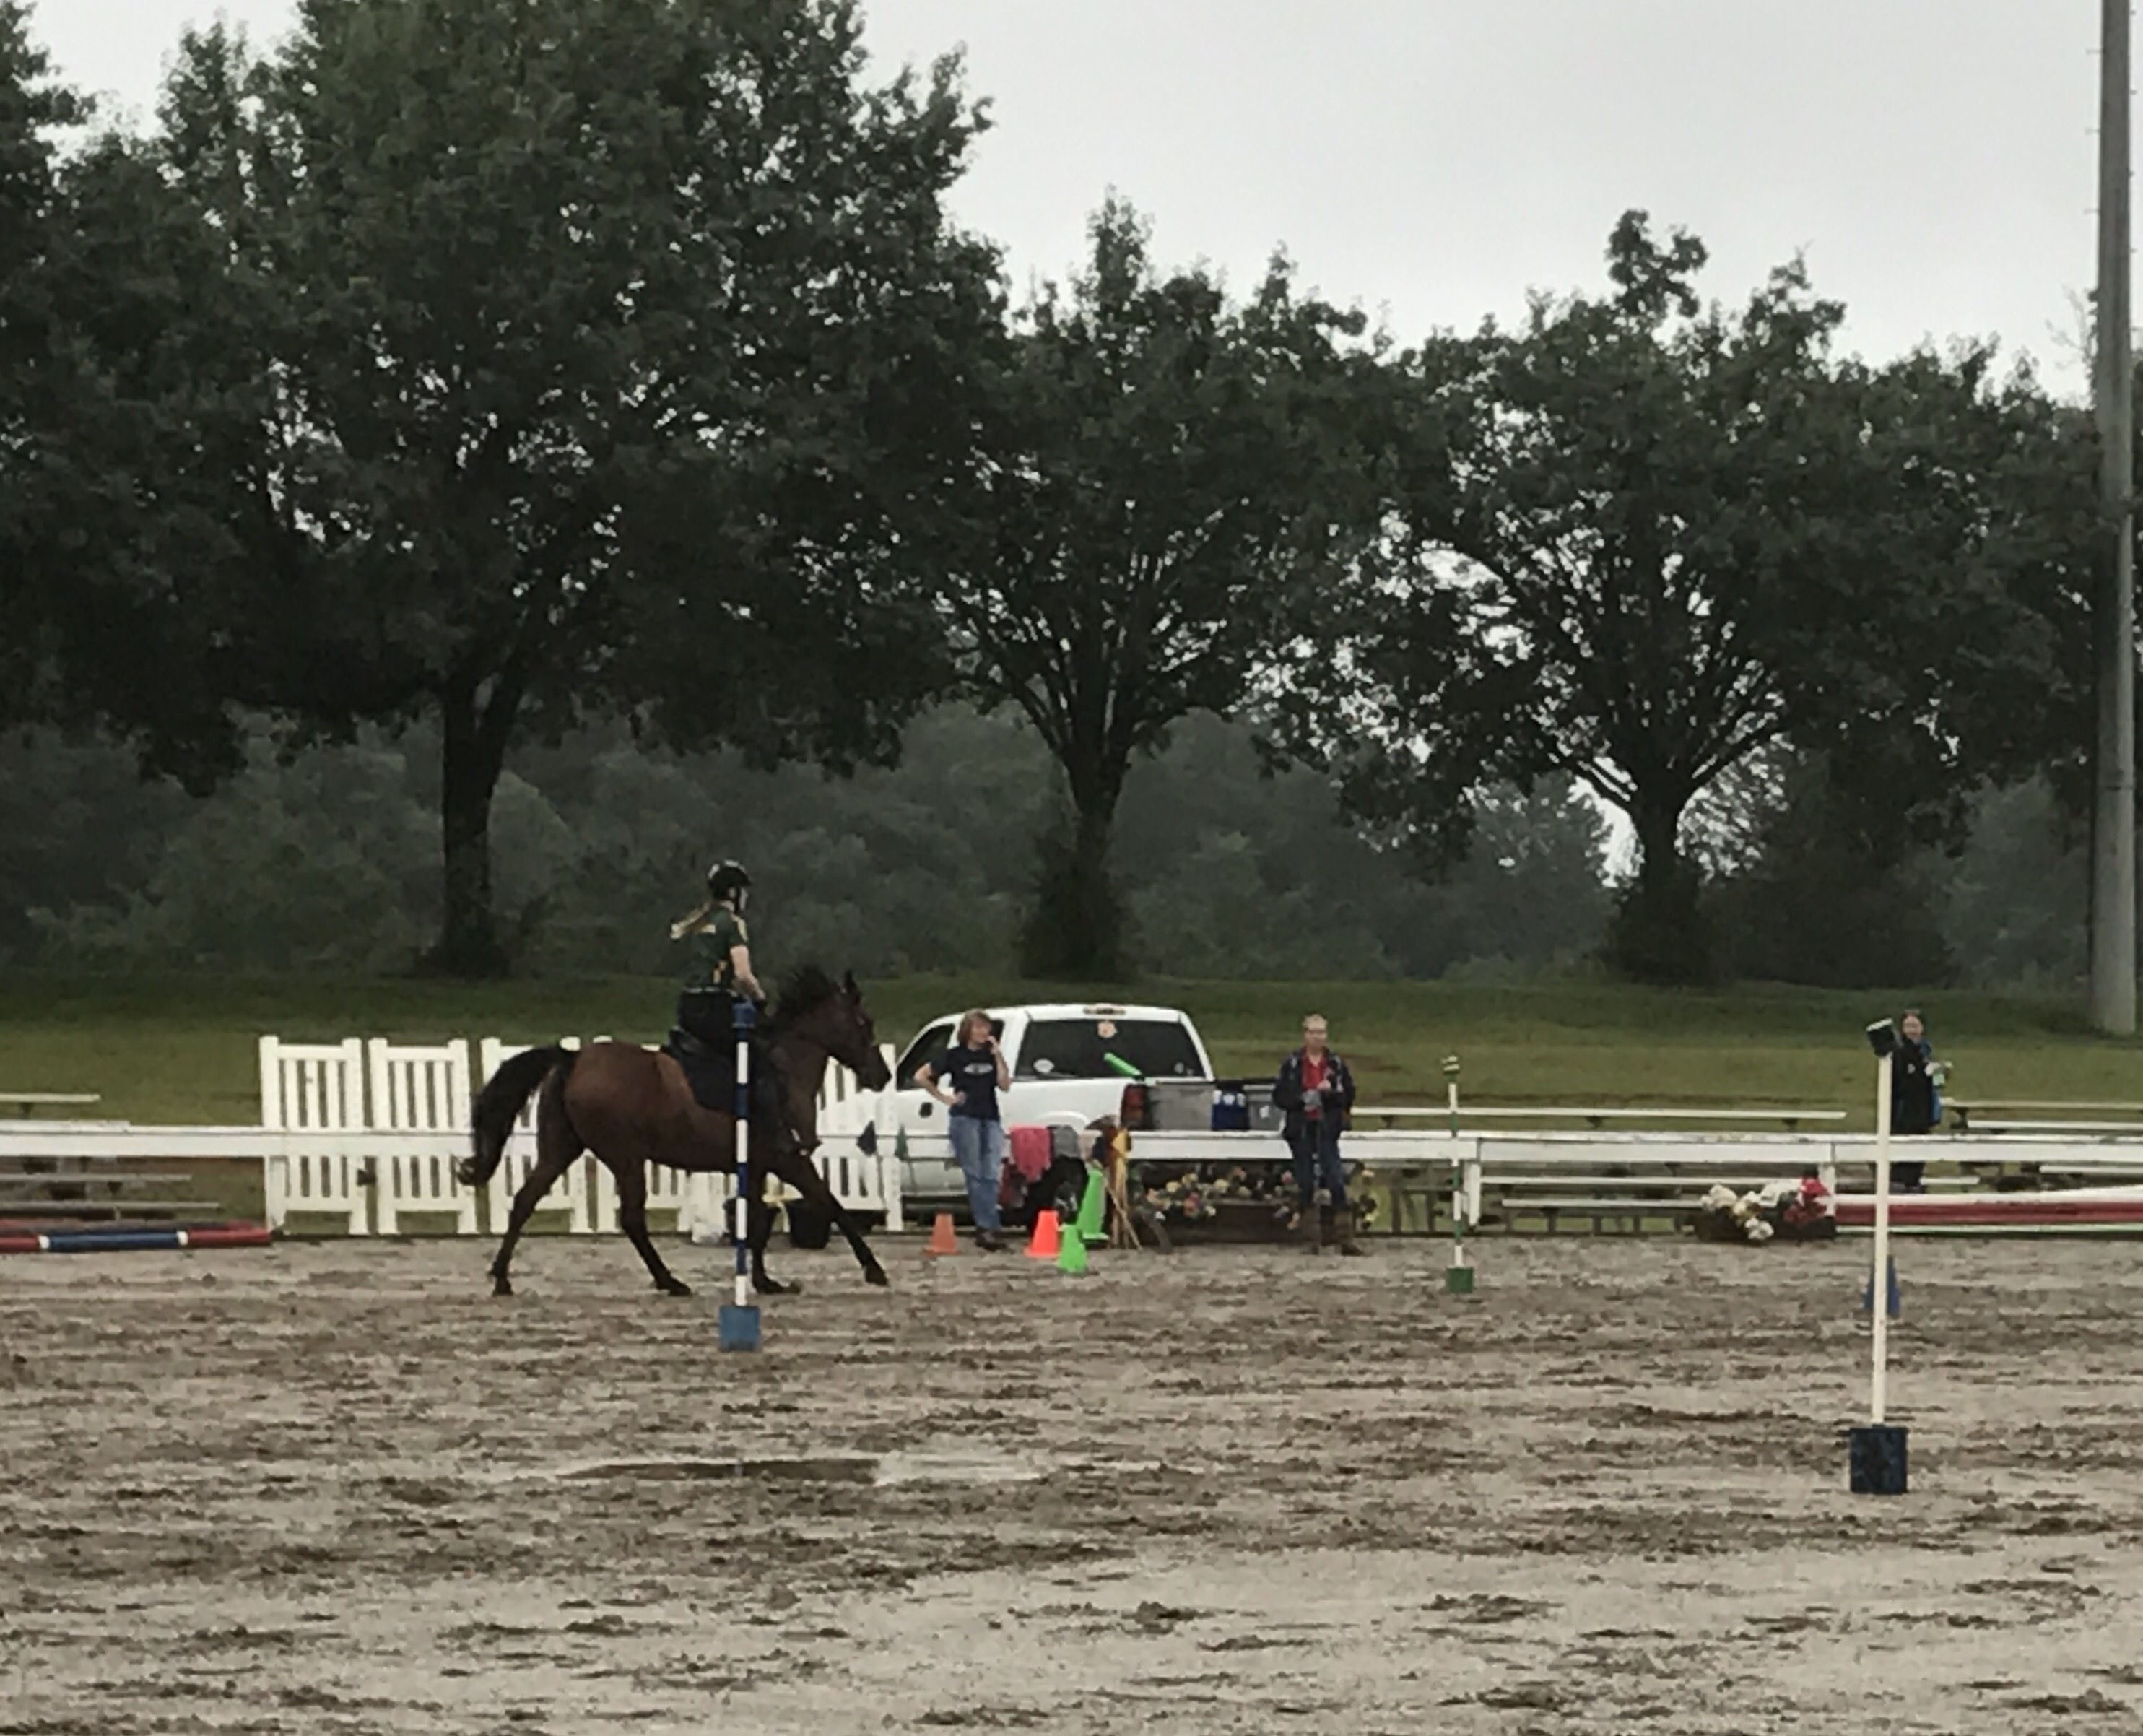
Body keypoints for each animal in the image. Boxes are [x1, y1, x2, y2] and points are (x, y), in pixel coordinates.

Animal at [458, 964, 896, 1298]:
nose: (882, 1076)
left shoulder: (756, 1165)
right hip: (626, 1158)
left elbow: (755, 1220)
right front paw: (874, 1269)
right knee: (632, 1219)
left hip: (561, 1149)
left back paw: (502, 1278)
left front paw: (763, 1281)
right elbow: (832, 1204)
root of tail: (574, 1058)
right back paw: (669, 1281)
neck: (784, 1066)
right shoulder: (789, 1160)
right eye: (865, 1023)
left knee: (525, 1201)